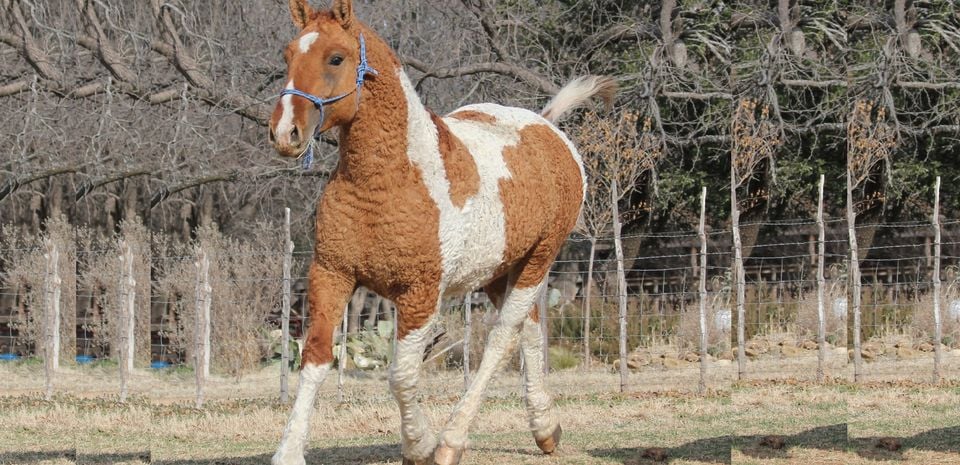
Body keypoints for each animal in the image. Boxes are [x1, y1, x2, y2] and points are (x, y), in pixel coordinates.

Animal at [270, 1, 616, 462]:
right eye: (288, 55)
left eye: (336, 58)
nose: (284, 132)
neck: (386, 181)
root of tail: (547, 128)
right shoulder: (331, 274)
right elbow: (316, 358)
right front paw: (289, 451)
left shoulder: (419, 294)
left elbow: (400, 373)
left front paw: (419, 444)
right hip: (498, 272)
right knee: (528, 332)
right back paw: (546, 430)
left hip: (538, 261)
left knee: (501, 338)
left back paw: (453, 440)